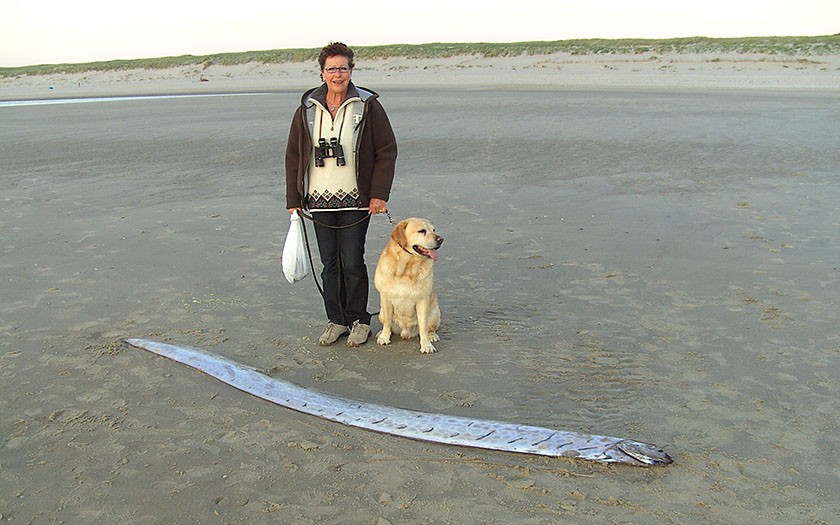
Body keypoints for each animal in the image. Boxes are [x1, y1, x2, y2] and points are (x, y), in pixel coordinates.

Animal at [372, 217, 440, 352]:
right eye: (422, 231)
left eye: (434, 230)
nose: (441, 239)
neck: (405, 269)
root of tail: (405, 332)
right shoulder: (386, 298)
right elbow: (387, 322)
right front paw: (384, 337)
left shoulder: (422, 300)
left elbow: (423, 327)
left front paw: (426, 345)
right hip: (381, 312)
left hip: (435, 312)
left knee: (430, 327)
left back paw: (432, 336)